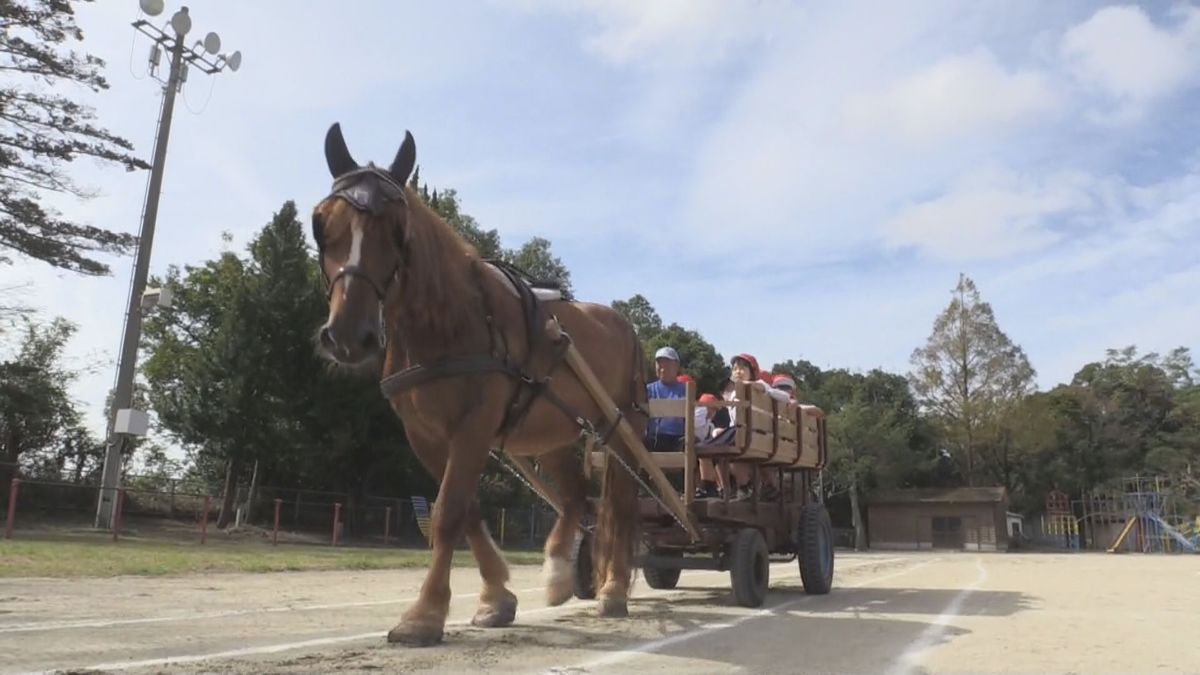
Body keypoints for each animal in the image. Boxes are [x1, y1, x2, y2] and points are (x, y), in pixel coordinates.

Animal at [309, 121, 648, 648]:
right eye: (321, 224)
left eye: (398, 229)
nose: (348, 336)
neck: (448, 323)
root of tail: (624, 324)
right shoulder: (425, 435)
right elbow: (464, 509)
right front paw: (496, 598)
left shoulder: (474, 427)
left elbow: (447, 512)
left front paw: (425, 614)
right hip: (550, 433)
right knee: (577, 497)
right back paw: (557, 572)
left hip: (622, 430)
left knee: (621, 508)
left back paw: (611, 590)